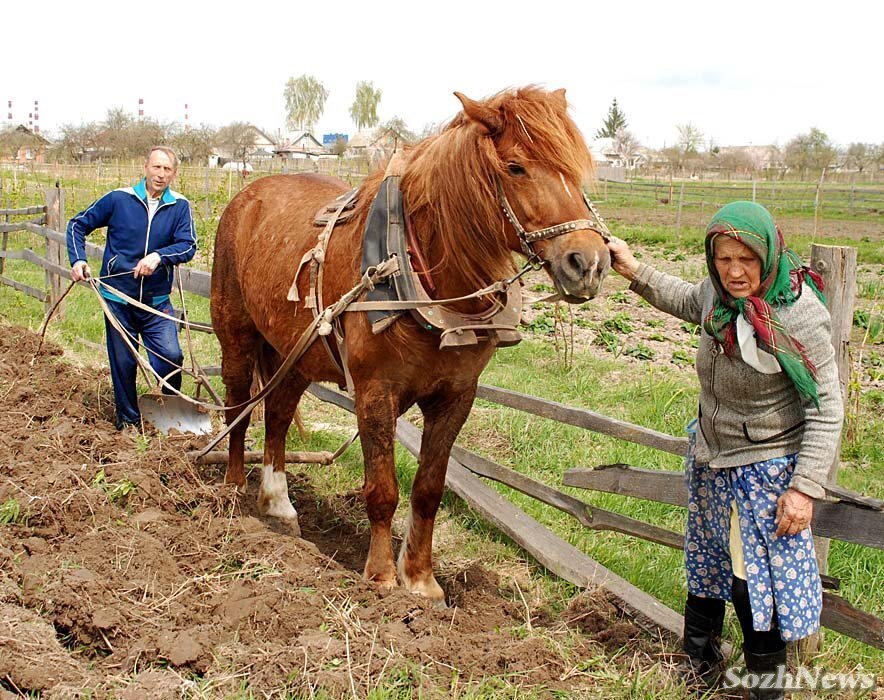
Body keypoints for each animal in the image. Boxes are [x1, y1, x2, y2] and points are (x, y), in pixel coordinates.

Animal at [211, 86, 612, 600]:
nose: (589, 263)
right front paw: (382, 577)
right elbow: (382, 490)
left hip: (296, 352)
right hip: (237, 337)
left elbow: (428, 489)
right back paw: (234, 491)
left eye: (576, 169)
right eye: (515, 167)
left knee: (278, 415)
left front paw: (421, 579)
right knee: (238, 409)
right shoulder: (375, 393)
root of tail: (247, 196)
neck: (428, 280)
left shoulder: (456, 396)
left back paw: (277, 505)